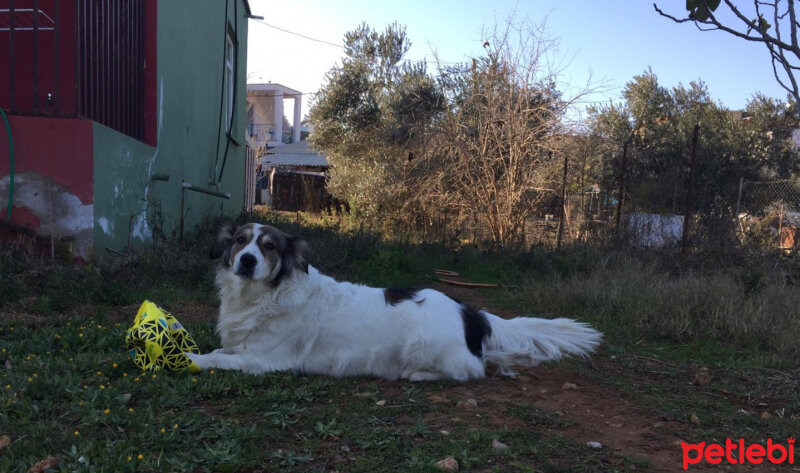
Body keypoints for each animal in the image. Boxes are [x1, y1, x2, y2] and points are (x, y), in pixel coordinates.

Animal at [188, 221, 600, 380]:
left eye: (269, 246)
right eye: (240, 241)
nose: (246, 261)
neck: (265, 296)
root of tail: (469, 311)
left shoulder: (262, 360)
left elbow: (214, 359)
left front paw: (187, 358)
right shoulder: (243, 346)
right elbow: (221, 350)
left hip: (428, 348)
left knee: (471, 371)